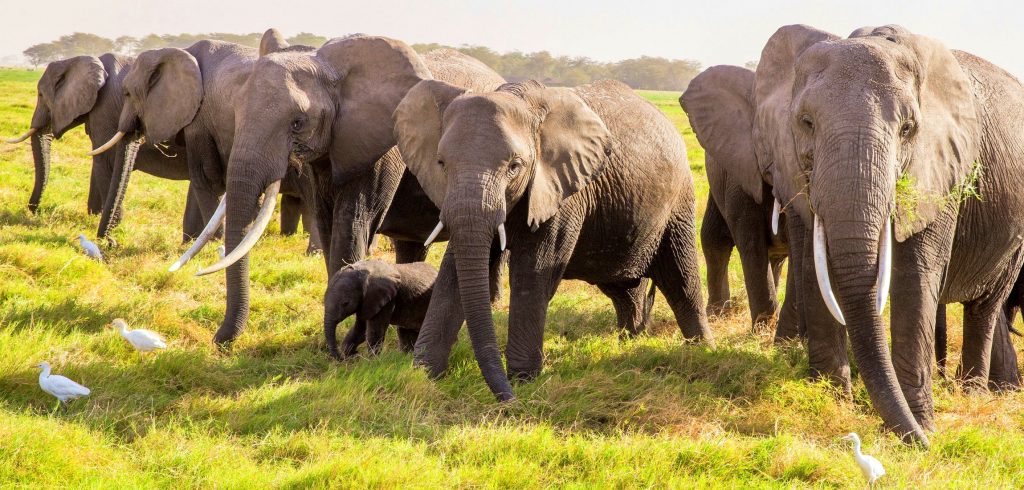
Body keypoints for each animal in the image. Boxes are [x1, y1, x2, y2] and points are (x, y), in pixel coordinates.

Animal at [5, 54, 203, 242]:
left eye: (40, 95)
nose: (35, 210)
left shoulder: (103, 110)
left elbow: (104, 160)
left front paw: (110, 226)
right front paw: (94, 216)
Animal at [88, 33, 322, 262]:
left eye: (127, 93)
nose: (110, 242)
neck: (178, 53)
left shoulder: (199, 122)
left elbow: (207, 178)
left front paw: (214, 244)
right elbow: (201, 180)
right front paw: (192, 243)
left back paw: (314, 254)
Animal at [396, 78, 710, 400]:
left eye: (515, 166)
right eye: (441, 163)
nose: (507, 399)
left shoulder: (562, 191)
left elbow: (532, 274)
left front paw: (524, 380)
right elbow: (454, 273)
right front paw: (424, 374)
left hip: (678, 202)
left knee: (681, 280)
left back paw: (701, 351)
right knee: (624, 287)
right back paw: (631, 340)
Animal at [680, 66, 801, 338]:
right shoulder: (740, 173)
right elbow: (750, 241)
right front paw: (764, 331)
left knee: (777, 255)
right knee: (715, 239)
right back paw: (718, 313)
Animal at [734, 24, 1024, 445]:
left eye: (908, 129)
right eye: (806, 122)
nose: (925, 445)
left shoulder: (939, 170)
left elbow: (914, 278)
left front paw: (920, 425)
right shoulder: (795, 169)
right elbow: (814, 269)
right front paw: (830, 402)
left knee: (984, 308)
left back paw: (971, 394)